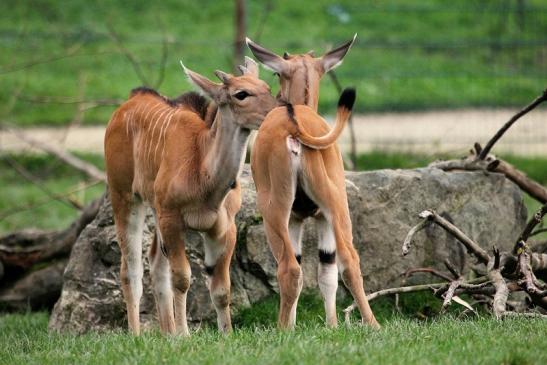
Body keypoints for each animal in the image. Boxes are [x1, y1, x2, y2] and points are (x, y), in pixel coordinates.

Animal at [104, 59, 276, 336]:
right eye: (241, 94)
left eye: (267, 87)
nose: (280, 110)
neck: (203, 173)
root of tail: (131, 100)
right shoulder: (172, 221)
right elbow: (182, 278)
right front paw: (184, 334)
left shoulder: (224, 228)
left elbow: (221, 289)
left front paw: (225, 334)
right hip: (125, 198)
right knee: (131, 270)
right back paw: (137, 333)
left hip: (155, 211)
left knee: (155, 262)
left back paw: (167, 333)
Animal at [246, 37, 378, 328]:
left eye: (277, 73)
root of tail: (294, 126)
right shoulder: (319, 217)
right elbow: (327, 273)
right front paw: (332, 326)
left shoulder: (294, 218)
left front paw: (294, 325)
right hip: (336, 206)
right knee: (349, 261)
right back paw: (373, 325)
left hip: (275, 211)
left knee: (289, 268)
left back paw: (282, 329)